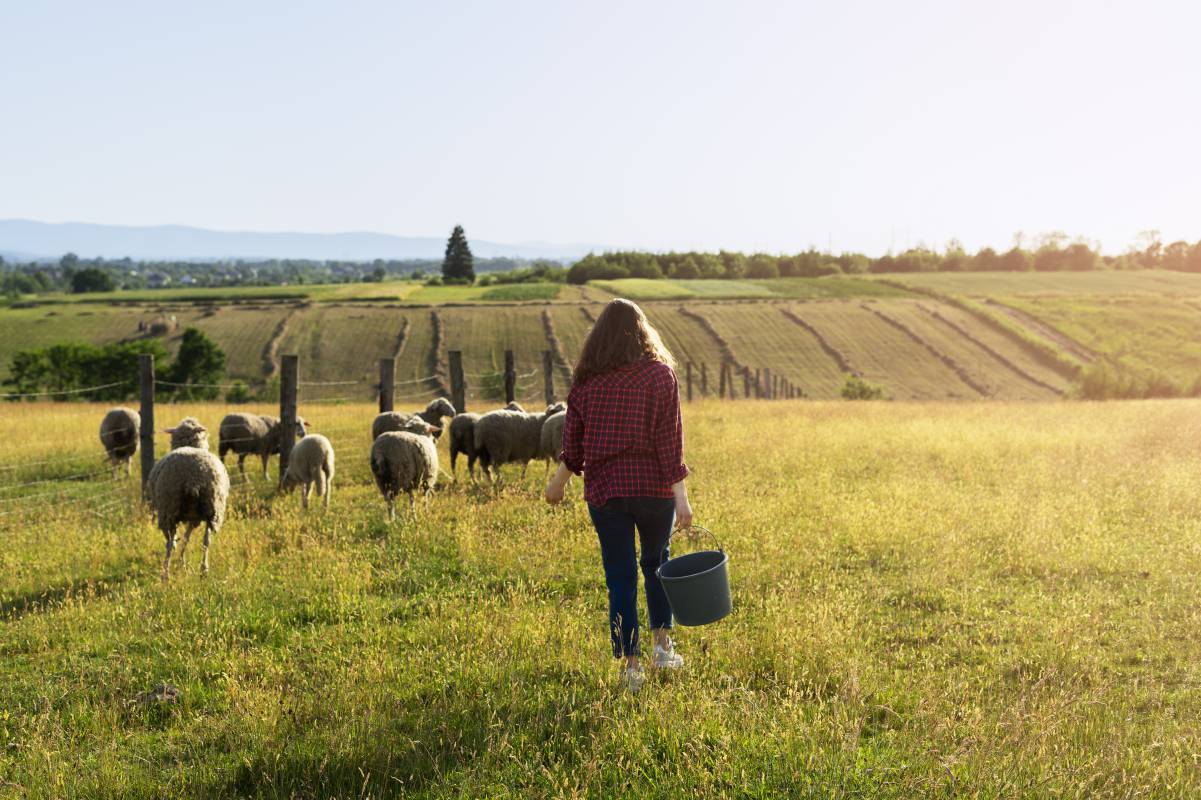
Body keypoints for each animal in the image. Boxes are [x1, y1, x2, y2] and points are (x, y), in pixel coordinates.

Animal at [147, 418, 229, 578]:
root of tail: (193, 477)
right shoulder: (194, 517)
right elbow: (187, 538)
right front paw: (182, 562)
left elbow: (180, 539)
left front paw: (179, 561)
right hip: (213, 509)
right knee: (206, 541)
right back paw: (204, 570)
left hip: (168, 509)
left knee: (169, 543)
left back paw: (165, 574)